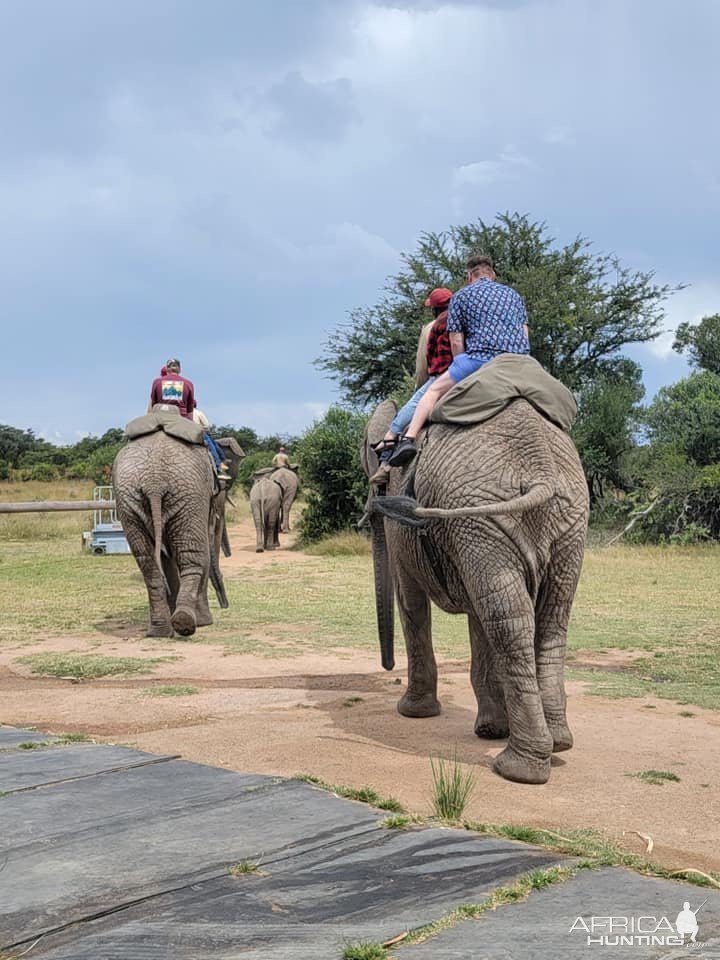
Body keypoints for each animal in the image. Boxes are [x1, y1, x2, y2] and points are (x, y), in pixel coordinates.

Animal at [112, 428, 245, 636]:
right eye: (222, 486)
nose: (225, 605)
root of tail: (154, 483)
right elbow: (206, 549)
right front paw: (204, 622)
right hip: (187, 495)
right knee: (192, 555)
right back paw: (187, 623)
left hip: (129, 500)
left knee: (147, 560)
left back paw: (160, 630)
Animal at [362, 394, 588, 784]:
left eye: (377, 486)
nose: (387, 667)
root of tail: (541, 469)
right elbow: (478, 615)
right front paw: (491, 730)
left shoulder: (403, 530)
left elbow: (411, 602)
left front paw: (413, 712)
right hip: (554, 519)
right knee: (544, 619)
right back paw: (557, 744)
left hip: (484, 515)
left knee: (509, 624)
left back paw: (517, 769)